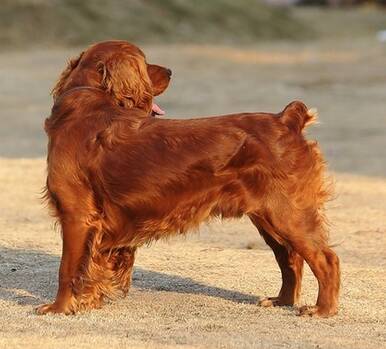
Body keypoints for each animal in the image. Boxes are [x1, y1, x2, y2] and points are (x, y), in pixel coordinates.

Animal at [36, 40, 338, 316]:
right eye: (145, 62)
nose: (170, 71)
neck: (86, 100)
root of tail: (286, 120)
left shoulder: (77, 215)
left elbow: (67, 268)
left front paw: (57, 308)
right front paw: (86, 303)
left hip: (288, 213)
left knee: (326, 259)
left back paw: (322, 310)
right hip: (268, 217)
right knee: (290, 258)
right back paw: (282, 301)